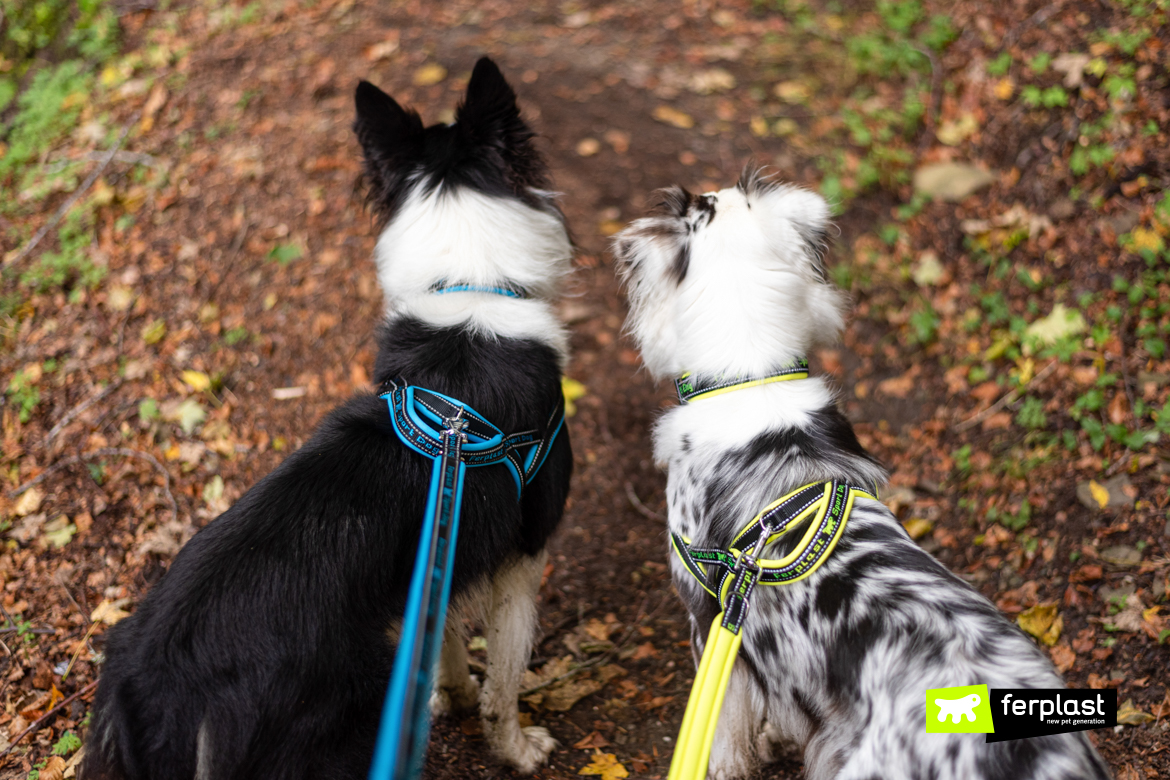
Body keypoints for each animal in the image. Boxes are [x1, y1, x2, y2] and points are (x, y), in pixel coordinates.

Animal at [84, 57, 573, 776]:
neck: (470, 287)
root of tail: (163, 685)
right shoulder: (523, 555)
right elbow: (504, 682)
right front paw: (515, 747)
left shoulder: (435, 558)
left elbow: (445, 645)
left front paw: (445, 697)